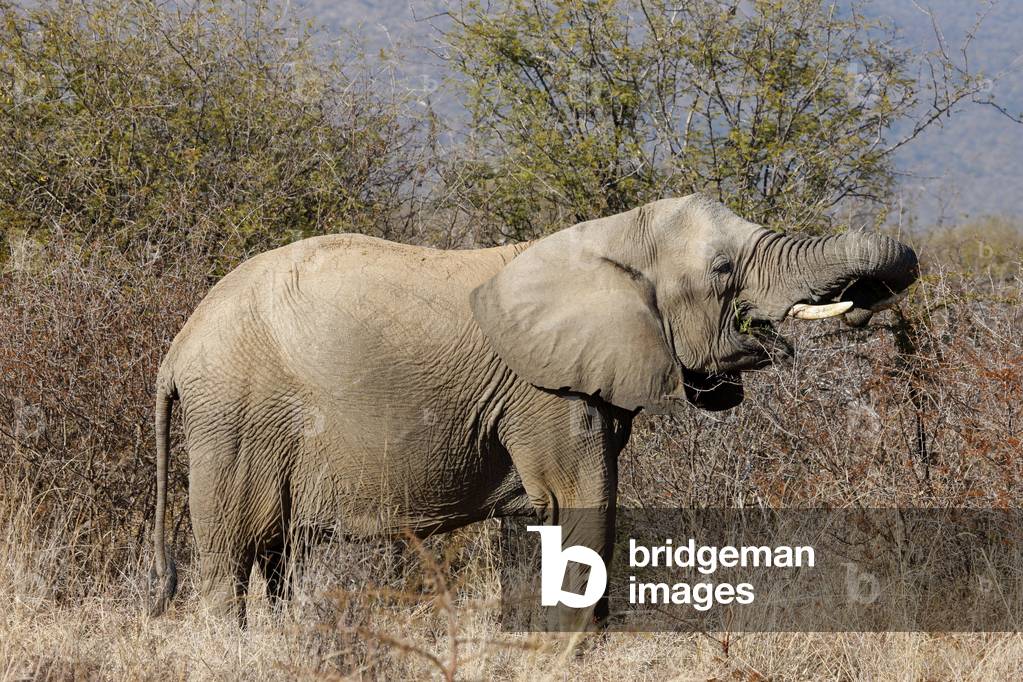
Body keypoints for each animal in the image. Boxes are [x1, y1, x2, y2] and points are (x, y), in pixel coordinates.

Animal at [148, 193, 918, 628]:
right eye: (724, 270)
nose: (863, 305)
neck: (612, 236)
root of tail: (176, 349)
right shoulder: (544, 390)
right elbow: (581, 501)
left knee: (275, 556)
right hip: (235, 417)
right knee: (232, 555)